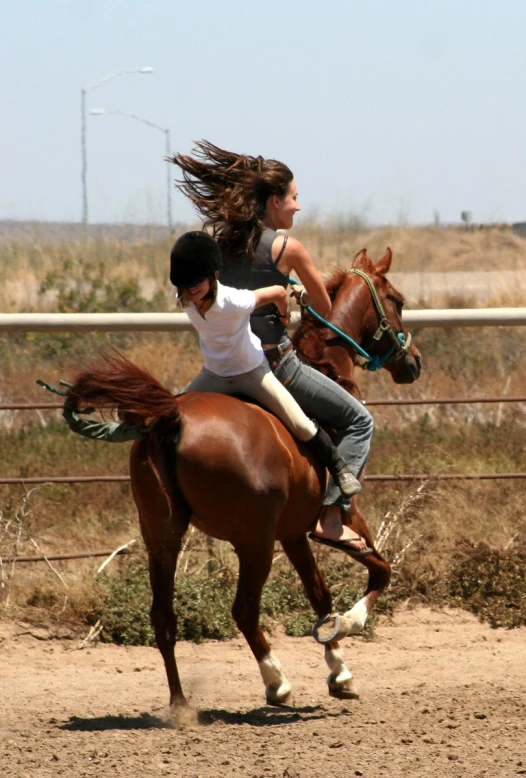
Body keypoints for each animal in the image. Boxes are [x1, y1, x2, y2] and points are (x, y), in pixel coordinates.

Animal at [67, 246, 420, 708]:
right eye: (397, 300)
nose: (412, 363)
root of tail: (171, 417)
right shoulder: (340, 514)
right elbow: (380, 570)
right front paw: (346, 630)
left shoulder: (293, 531)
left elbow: (318, 592)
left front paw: (338, 668)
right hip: (254, 542)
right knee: (244, 609)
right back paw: (276, 682)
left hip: (163, 536)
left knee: (163, 616)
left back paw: (180, 703)